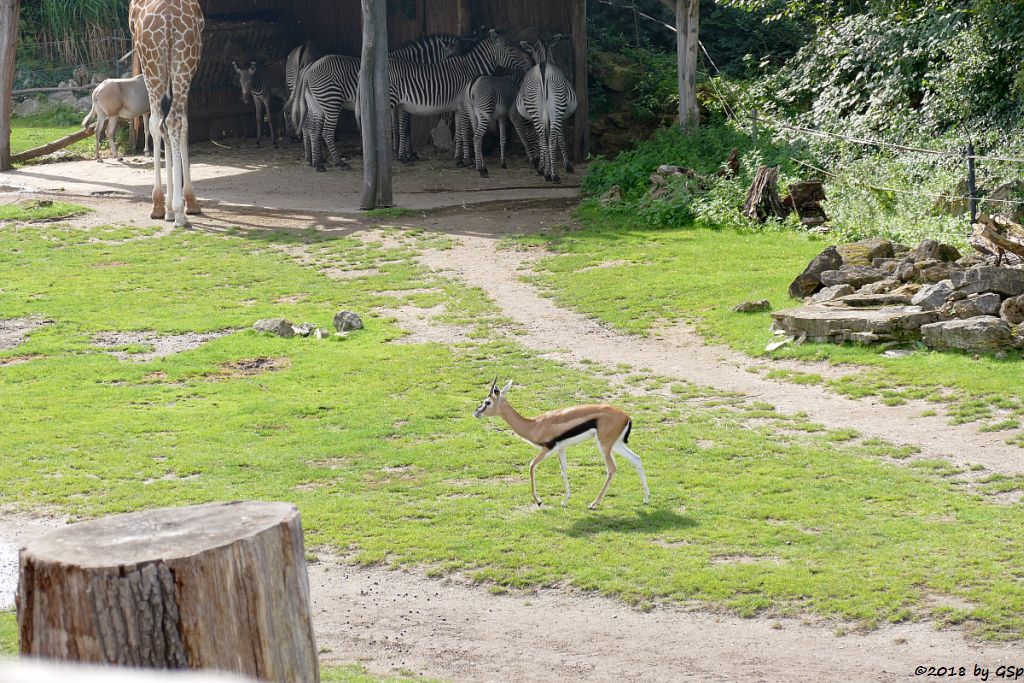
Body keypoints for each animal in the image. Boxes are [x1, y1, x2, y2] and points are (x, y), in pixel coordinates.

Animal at [292, 33, 468, 172]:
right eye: (454, 59)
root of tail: (309, 68)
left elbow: (401, 127)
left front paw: (404, 153)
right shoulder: (402, 104)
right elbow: (404, 128)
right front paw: (405, 155)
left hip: (315, 103)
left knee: (310, 128)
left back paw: (317, 162)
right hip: (330, 100)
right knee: (320, 130)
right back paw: (337, 163)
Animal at [385, 29, 528, 163]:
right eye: (510, 49)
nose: (529, 63)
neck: (470, 69)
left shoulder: (458, 107)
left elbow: (459, 131)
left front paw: (459, 158)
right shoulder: (465, 104)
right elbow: (466, 130)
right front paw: (468, 160)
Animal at [475, 378, 651, 507]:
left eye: (487, 402)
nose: (476, 413)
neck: (535, 425)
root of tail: (626, 416)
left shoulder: (547, 449)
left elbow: (531, 466)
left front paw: (539, 501)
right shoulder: (561, 449)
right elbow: (564, 470)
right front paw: (565, 500)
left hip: (604, 446)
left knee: (612, 469)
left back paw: (594, 503)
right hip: (617, 444)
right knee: (636, 458)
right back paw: (646, 498)